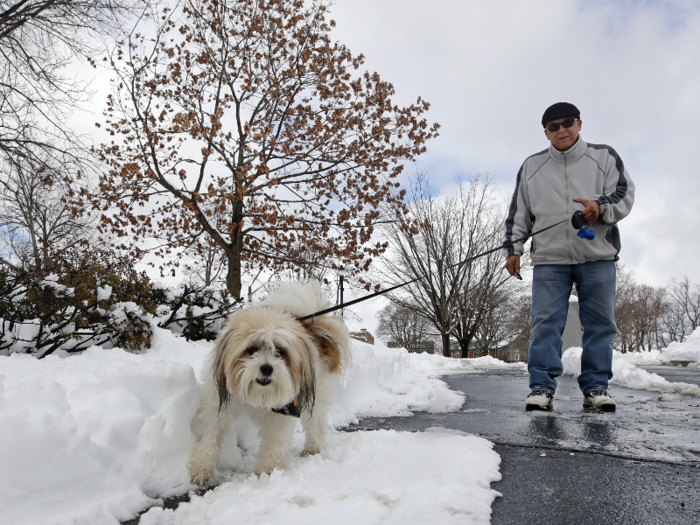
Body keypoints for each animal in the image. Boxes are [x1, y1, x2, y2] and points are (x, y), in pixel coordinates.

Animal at [189, 278, 350, 484]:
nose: (267, 368)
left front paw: (267, 472)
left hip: (317, 395)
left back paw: (313, 448)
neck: (257, 394)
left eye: (280, 352)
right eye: (251, 349)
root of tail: (314, 325)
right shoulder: (217, 402)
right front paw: (201, 468)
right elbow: (210, 434)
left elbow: (274, 443)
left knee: (317, 424)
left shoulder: (282, 412)